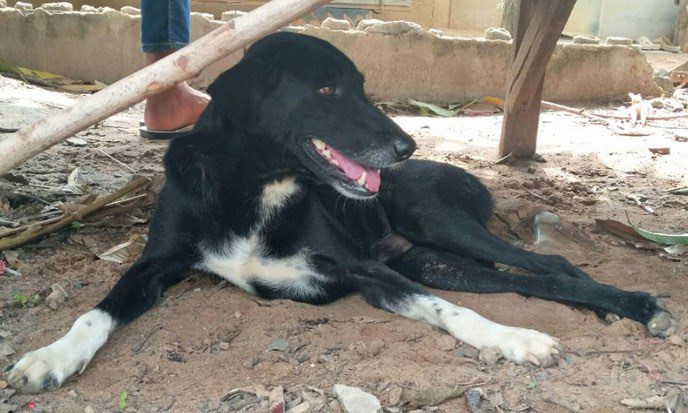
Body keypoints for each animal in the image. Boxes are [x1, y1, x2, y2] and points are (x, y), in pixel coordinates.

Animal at [5, 32, 676, 392]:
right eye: (327, 88)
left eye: (362, 85)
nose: (407, 145)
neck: (257, 185)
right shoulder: (153, 265)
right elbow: (95, 313)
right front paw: (49, 358)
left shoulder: (364, 271)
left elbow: (448, 312)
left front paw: (517, 339)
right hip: (435, 259)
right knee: (531, 278)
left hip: (438, 225)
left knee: (553, 264)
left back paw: (637, 306)